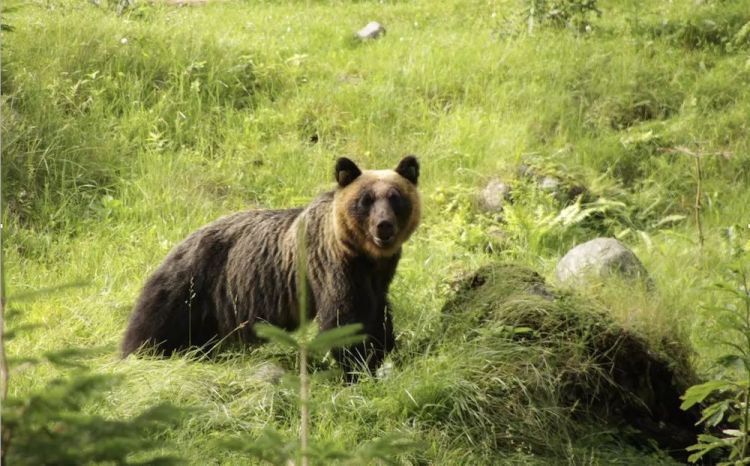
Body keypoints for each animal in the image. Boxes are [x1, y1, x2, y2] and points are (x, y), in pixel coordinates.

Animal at [120, 155, 420, 376]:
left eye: (395, 197)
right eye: (366, 200)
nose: (383, 226)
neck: (365, 257)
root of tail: (180, 243)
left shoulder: (379, 277)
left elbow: (378, 314)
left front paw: (382, 351)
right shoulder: (332, 267)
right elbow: (344, 318)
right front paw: (357, 365)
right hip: (190, 285)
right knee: (153, 325)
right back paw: (136, 355)